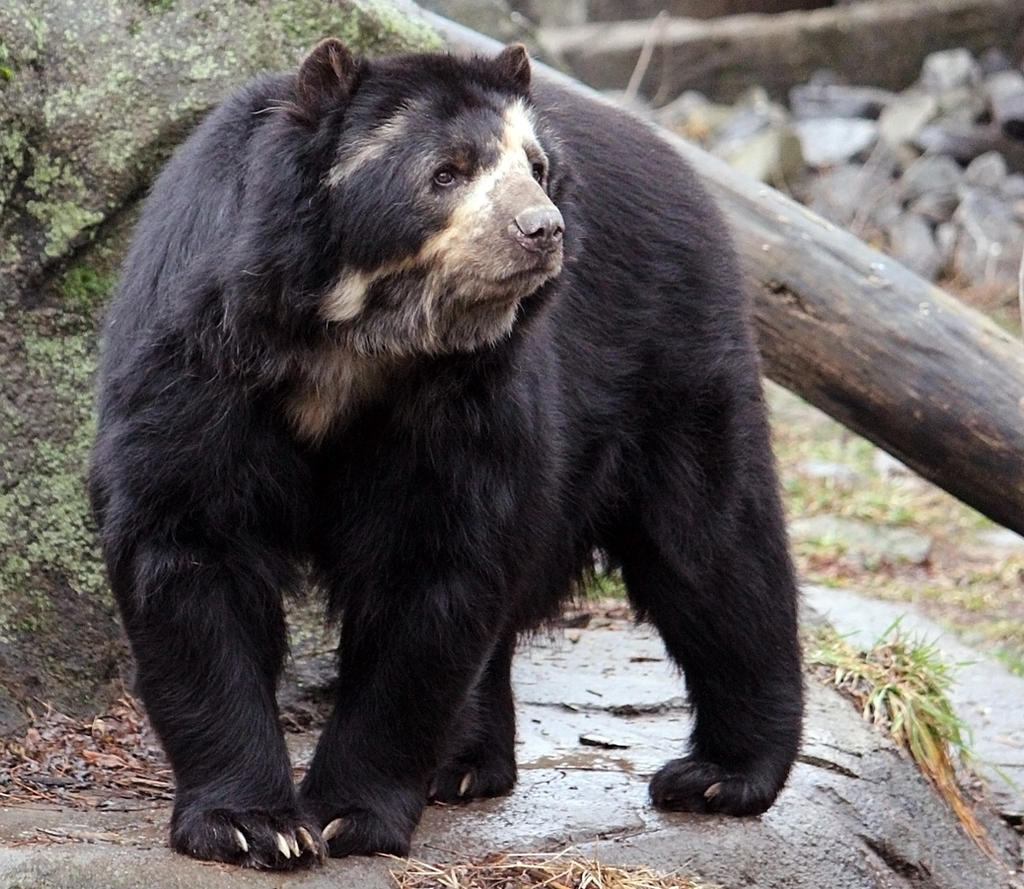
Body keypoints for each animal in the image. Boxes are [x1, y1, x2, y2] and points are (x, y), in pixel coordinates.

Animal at [88, 38, 802, 864]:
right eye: (446, 172)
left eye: (536, 167)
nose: (541, 229)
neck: (358, 341)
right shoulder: (202, 359)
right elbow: (190, 543)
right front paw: (251, 824)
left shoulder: (465, 400)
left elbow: (430, 569)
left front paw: (350, 814)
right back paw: (464, 763)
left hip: (671, 356)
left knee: (710, 545)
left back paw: (721, 774)